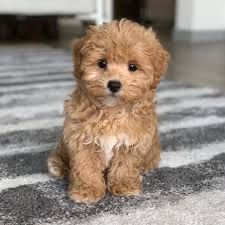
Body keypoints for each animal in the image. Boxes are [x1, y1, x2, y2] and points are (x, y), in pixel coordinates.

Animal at [47, 18, 169, 202]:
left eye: (132, 67)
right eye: (102, 63)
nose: (114, 84)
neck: (112, 111)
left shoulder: (132, 141)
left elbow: (125, 165)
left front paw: (124, 185)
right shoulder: (81, 138)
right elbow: (86, 166)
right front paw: (87, 190)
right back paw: (58, 165)